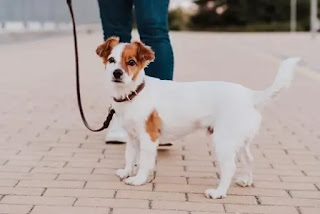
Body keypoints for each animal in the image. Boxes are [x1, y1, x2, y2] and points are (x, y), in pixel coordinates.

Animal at [95, 36, 300, 198]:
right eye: (111, 60)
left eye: (131, 62)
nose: (117, 73)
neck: (134, 94)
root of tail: (250, 95)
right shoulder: (132, 137)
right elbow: (130, 156)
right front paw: (126, 172)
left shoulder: (148, 137)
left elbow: (144, 161)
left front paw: (138, 179)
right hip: (239, 140)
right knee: (249, 159)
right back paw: (247, 181)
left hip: (224, 141)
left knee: (230, 167)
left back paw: (219, 193)